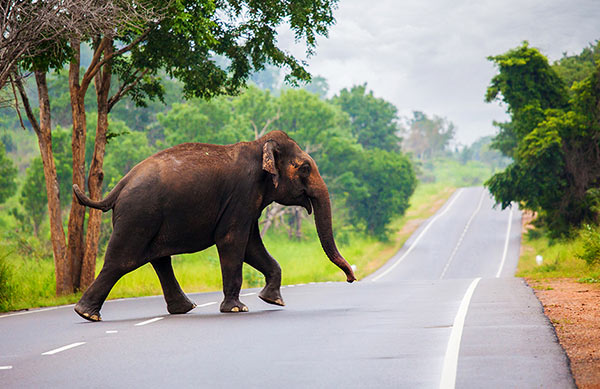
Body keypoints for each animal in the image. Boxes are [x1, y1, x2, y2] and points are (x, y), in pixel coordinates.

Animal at [74, 129, 356, 320]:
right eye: (305, 168)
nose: (352, 278)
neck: (258, 146)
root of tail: (120, 186)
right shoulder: (242, 193)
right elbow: (233, 241)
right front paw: (237, 309)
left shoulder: (248, 202)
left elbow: (251, 247)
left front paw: (274, 301)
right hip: (139, 214)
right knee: (123, 261)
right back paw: (86, 314)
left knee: (159, 260)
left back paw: (184, 309)